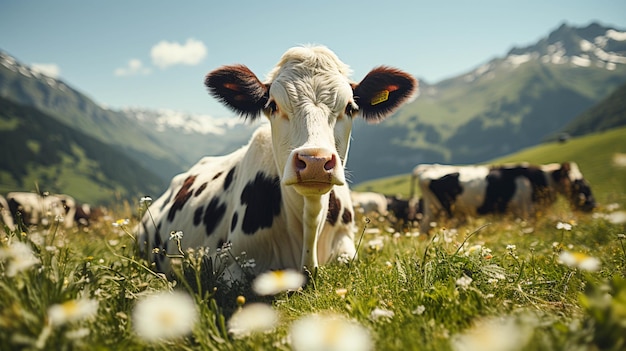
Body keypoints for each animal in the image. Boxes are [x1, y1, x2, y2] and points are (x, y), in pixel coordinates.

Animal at [412, 162, 592, 234]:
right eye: (580, 183)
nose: (592, 205)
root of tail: (428, 168)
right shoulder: (525, 212)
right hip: (445, 211)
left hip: (432, 211)